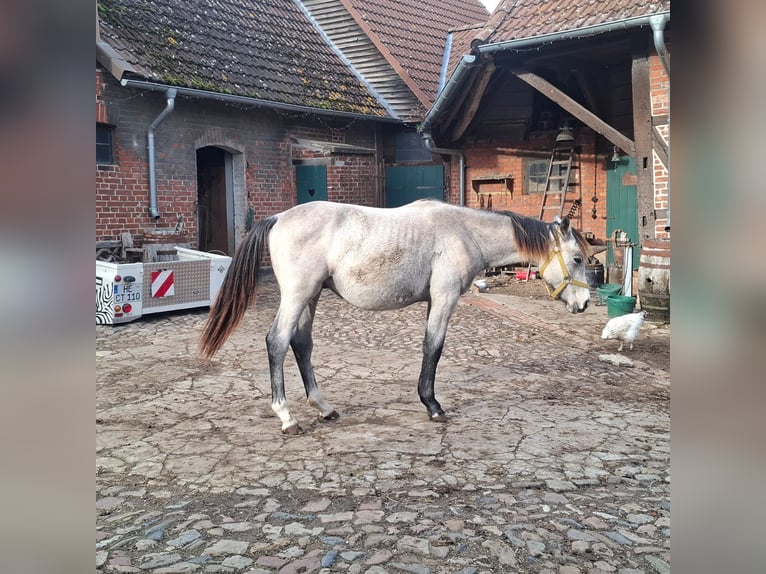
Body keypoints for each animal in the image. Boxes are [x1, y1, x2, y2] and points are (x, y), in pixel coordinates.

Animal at [199, 199, 591, 434]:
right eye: (577, 259)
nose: (585, 303)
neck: (463, 230)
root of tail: (279, 217)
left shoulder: (436, 300)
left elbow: (430, 348)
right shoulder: (445, 298)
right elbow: (434, 348)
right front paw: (432, 405)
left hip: (311, 297)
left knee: (302, 345)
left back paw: (324, 407)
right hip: (297, 296)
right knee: (277, 342)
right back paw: (286, 416)